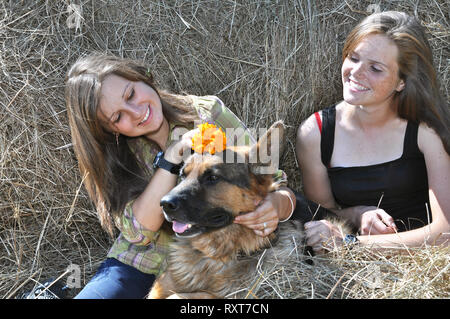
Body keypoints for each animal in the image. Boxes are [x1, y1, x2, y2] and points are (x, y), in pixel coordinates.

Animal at [149, 122, 346, 300]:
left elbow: (178, 296)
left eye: (212, 177)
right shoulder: (161, 286)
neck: (217, 254)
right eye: (183, 175)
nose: (164, 203)